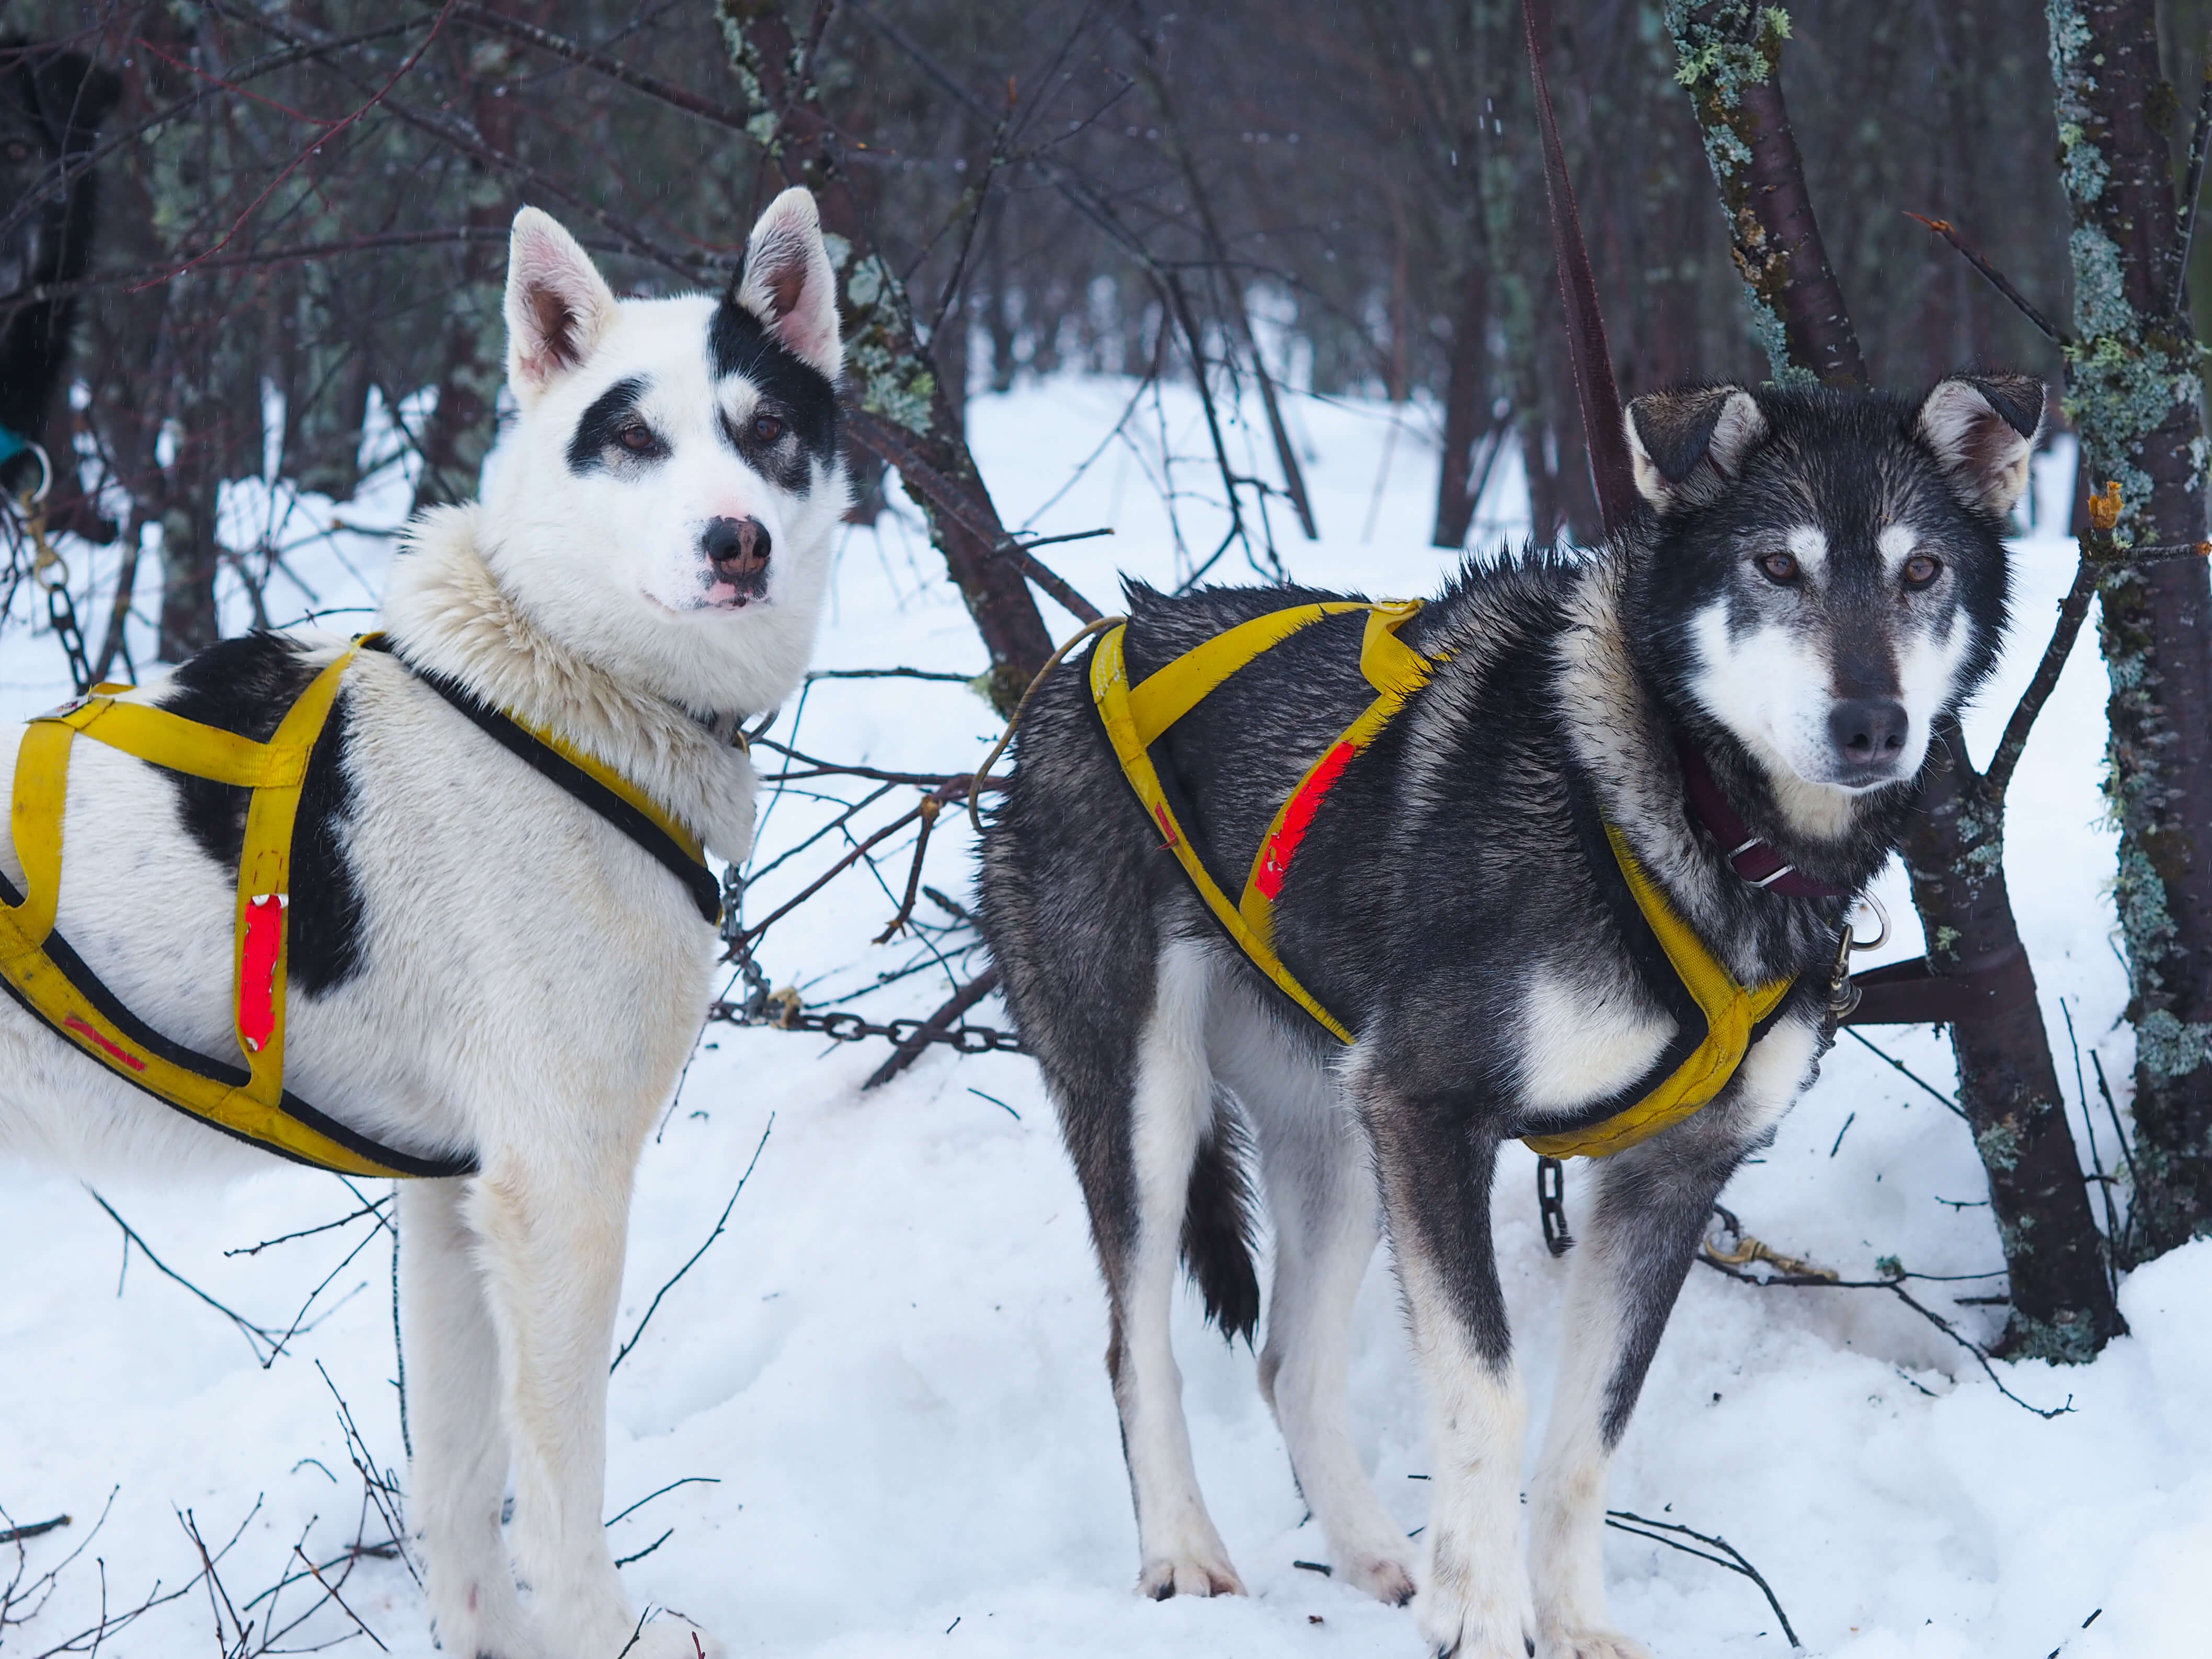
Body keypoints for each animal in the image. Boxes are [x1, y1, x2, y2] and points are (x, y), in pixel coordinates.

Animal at [0, 191, 845, 1659]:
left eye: (766, 428)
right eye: (633, 439)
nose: (736, 540)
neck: (564, 683)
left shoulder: (452, 1199)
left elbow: (459, 1485)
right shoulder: (558, 1192)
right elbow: (560, 1505)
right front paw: (601, 1632)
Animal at [978, 376, 2044, 1659]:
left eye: (1921, 569)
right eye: (1776, 565)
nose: (1871, 722)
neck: (1688, 809)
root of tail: (1091, 652)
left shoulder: (1669, 1172)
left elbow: (1591, 1432)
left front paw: (1572, 1621)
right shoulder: (1432, 1105)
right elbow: (1489, 1388)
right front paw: (1480, 1618)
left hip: (1339, 1132)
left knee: (1291, 1364)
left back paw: (1376, 1555)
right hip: (1153, 1098)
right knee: (1136, 1346)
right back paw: (1186, 1555)